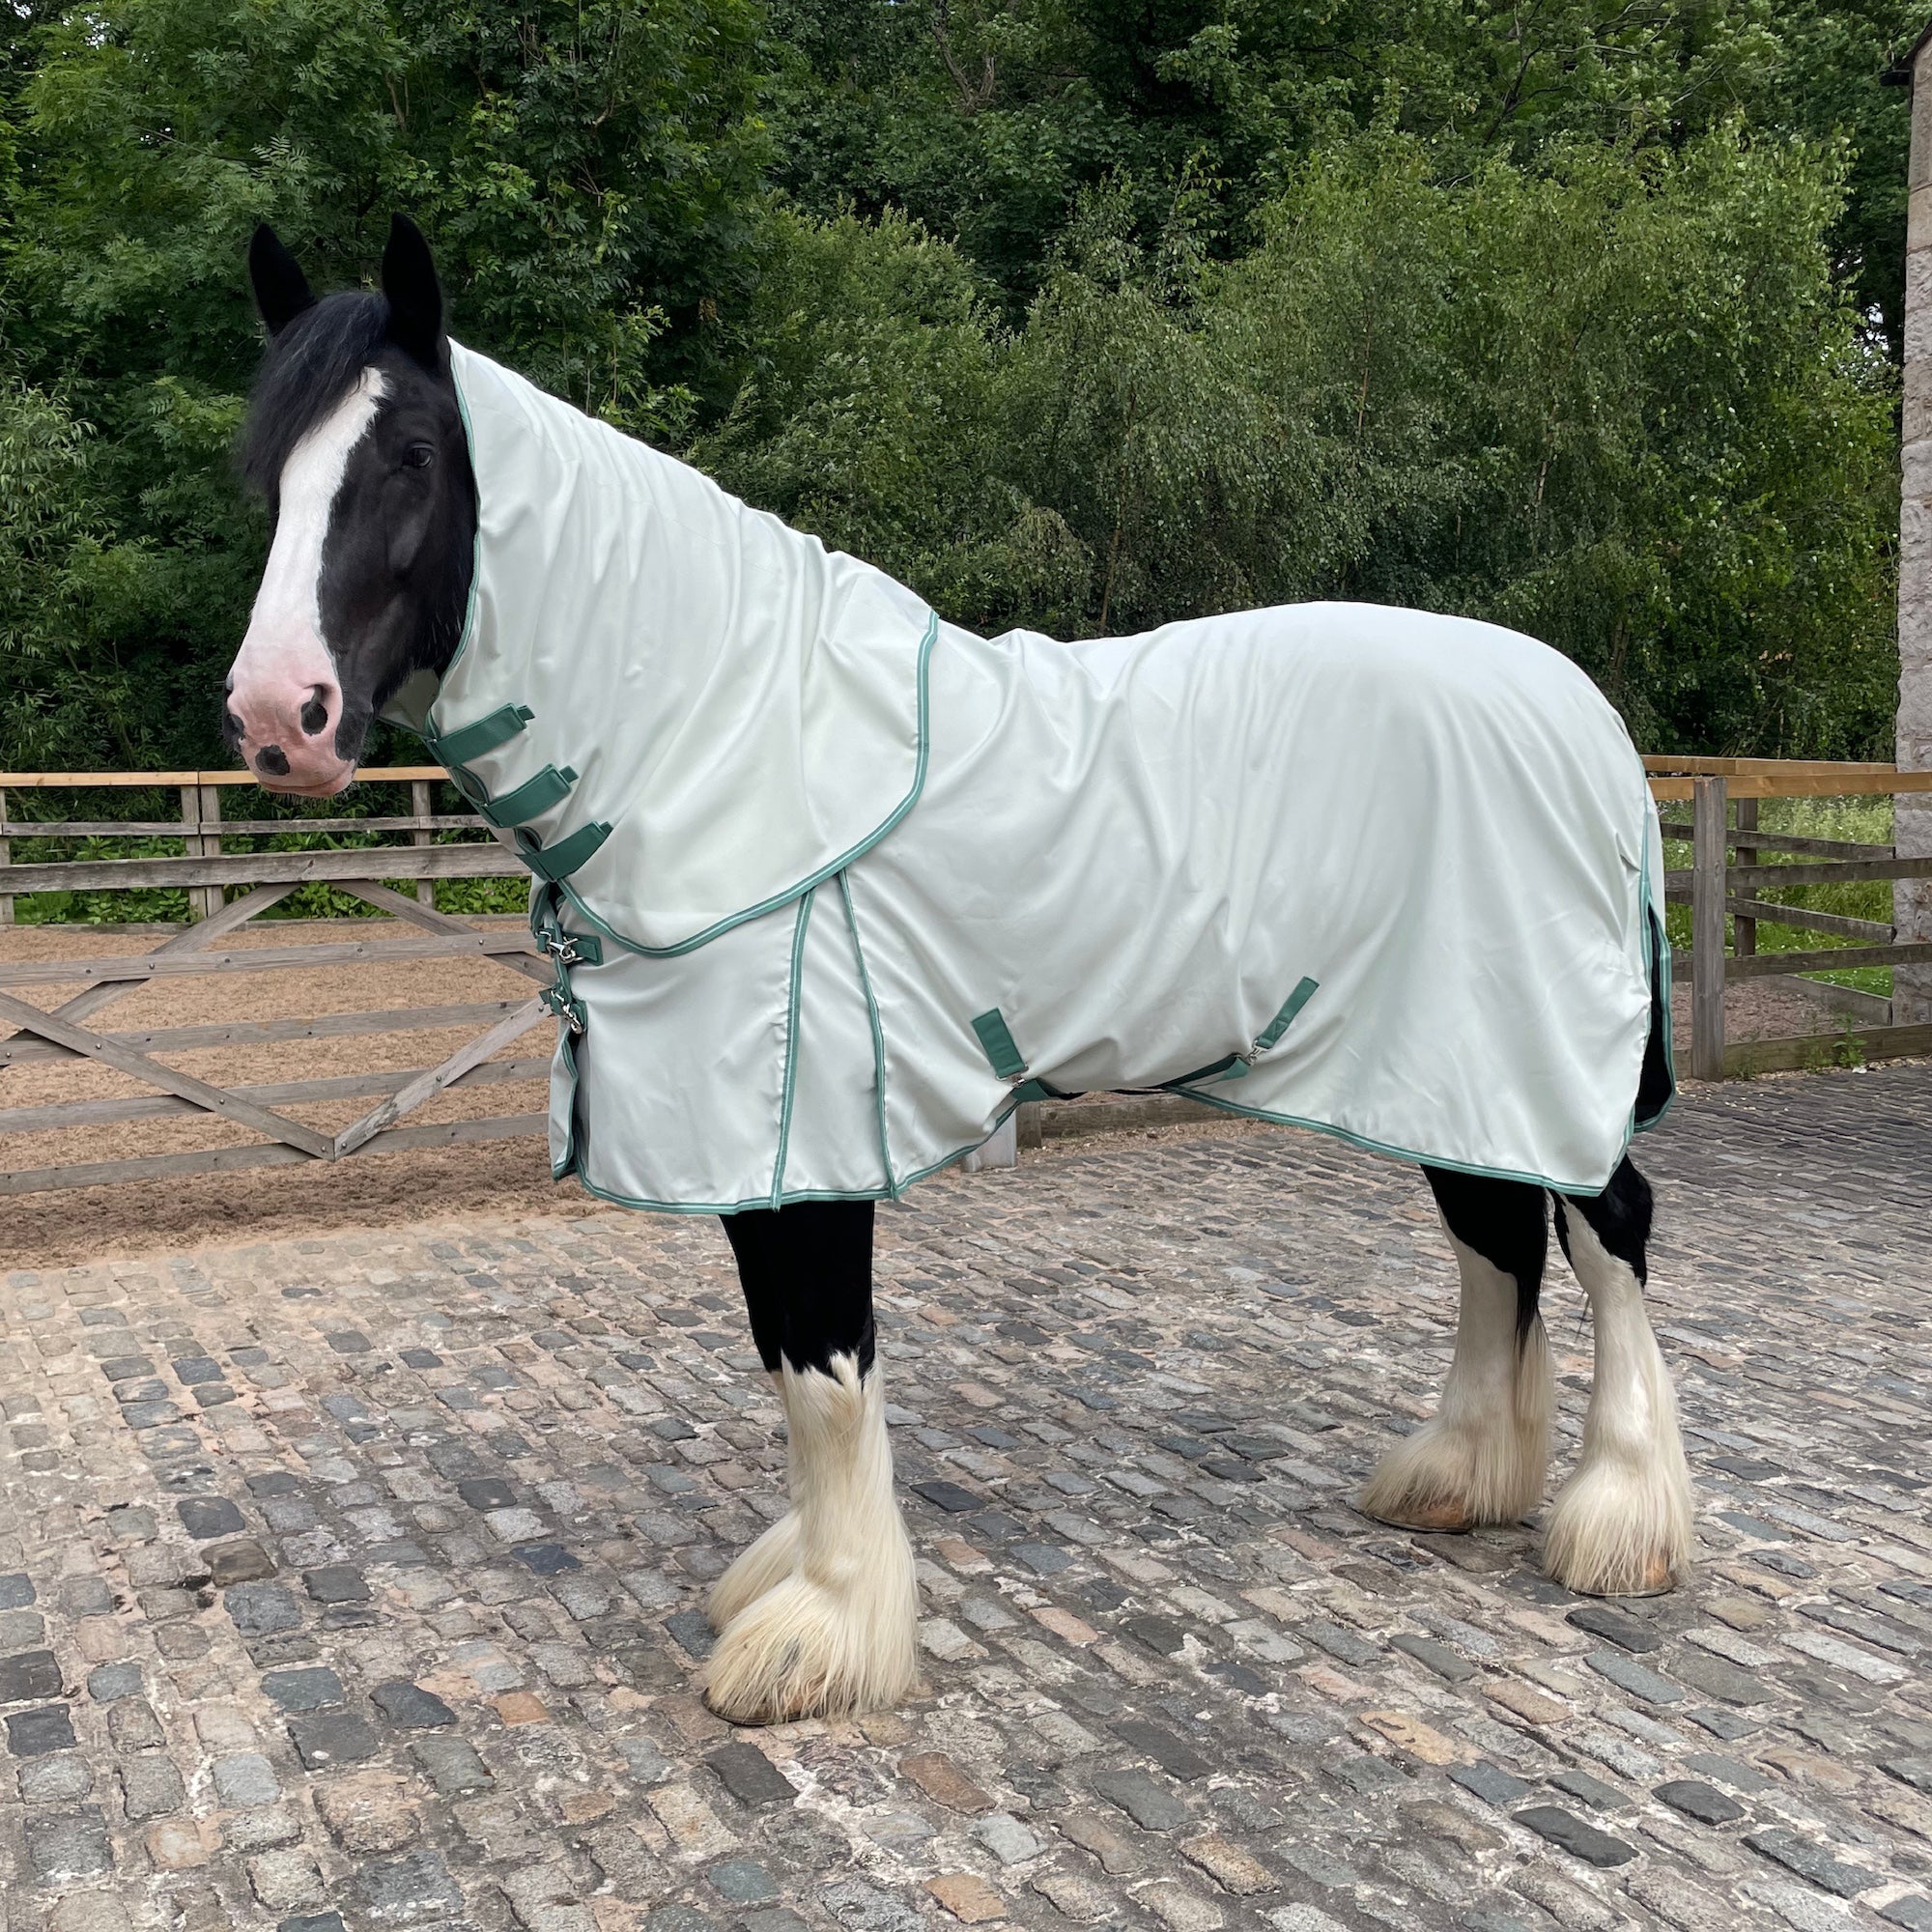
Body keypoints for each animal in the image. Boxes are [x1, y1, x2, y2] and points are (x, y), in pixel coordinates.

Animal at [221, 214, 1694, 1725]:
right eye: (266, 468)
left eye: (410, 453)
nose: (280, 717)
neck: (730, 739)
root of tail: (1582, 716)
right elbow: (782, 1357)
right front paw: (801, 1581)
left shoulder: (800, 1142)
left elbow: (820, 1368)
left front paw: (828, 1629)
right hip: (1446, 1062)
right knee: (1492, 1233)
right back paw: (1459, 1475)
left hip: (1531, 1055)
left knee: (1605, 1229)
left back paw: (1618, 1515)